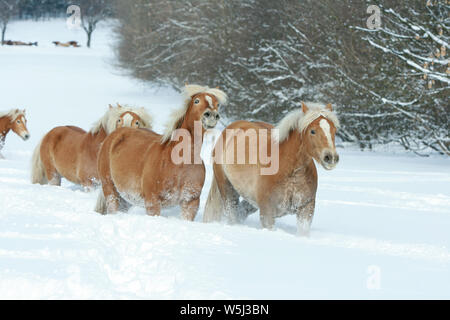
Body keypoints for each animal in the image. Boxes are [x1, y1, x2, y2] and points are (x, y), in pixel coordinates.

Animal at [96, 84, 227, 220]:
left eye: (217, 104)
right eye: (197, 101)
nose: (211, 115)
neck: (179, 161)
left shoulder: (190, 202)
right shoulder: (152, 201)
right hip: (110, 188)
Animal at [202, 101, 340, 236]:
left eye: (334, 130)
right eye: (312, 131)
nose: (331, 158)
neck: (290, 171)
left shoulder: (306, 209)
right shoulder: (267, 212)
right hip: (227, 189)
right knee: (232, 214)